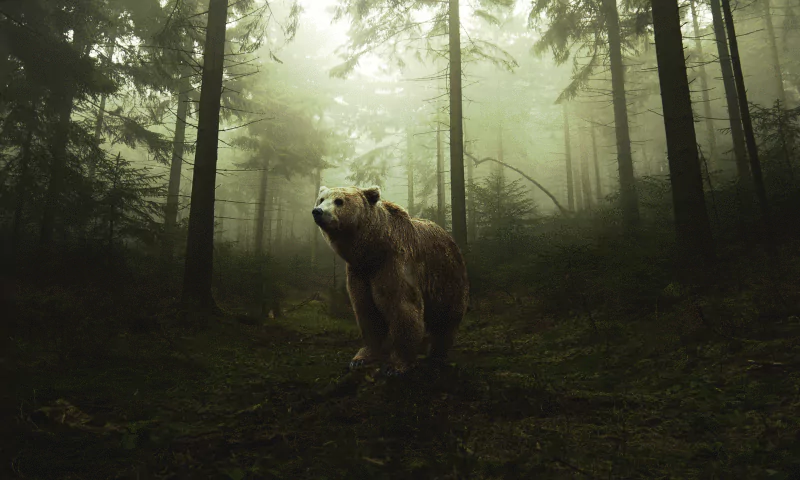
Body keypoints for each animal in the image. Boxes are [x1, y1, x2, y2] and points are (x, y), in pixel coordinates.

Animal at [312, 185, 469, 375]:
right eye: (321, 199)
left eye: (339, 201)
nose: (318, 211)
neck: (372, 251)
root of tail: (450, 237)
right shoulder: (360, 273)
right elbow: (366, 310)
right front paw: (360, 358)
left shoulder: (394, 263)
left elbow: (402, 307)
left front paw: (396, 365)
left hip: (446, 278)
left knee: (446, 318)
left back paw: (437, 354)